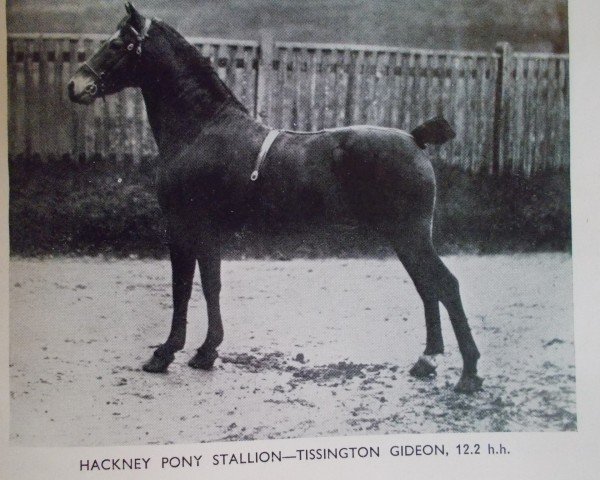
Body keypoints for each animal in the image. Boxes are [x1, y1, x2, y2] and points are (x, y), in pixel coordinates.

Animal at [68, 4, 482, 394]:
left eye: (118, 44)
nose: (75, 85)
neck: (201, 128)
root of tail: (414, 138)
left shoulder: (184, 225)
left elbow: (183, 287)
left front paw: (166, 353)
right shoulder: (207, 230)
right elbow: (211, 284)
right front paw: (207, 351)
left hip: (410, 235)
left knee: (446, 285)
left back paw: (469, 374)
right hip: (405, 238)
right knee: (428, 287)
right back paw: (427, 361)